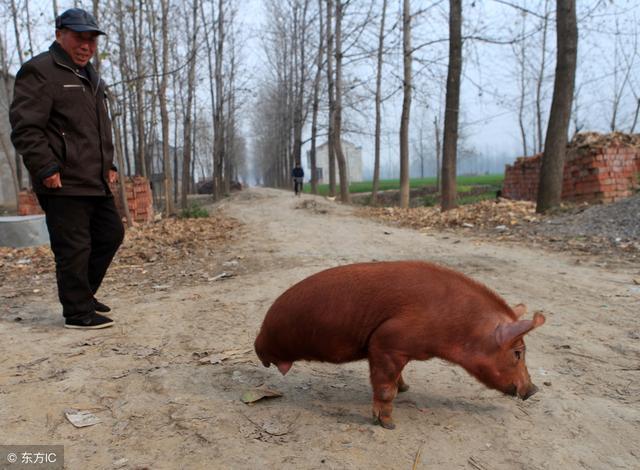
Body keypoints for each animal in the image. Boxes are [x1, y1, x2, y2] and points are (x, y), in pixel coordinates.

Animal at [255, 260, 544, 430]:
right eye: (518, 353)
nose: (534, 390)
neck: (456, 326)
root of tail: (259, 337)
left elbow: (397, 380)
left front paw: (406, 388)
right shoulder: (386, 343)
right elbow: (385, 389)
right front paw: (388, 424)